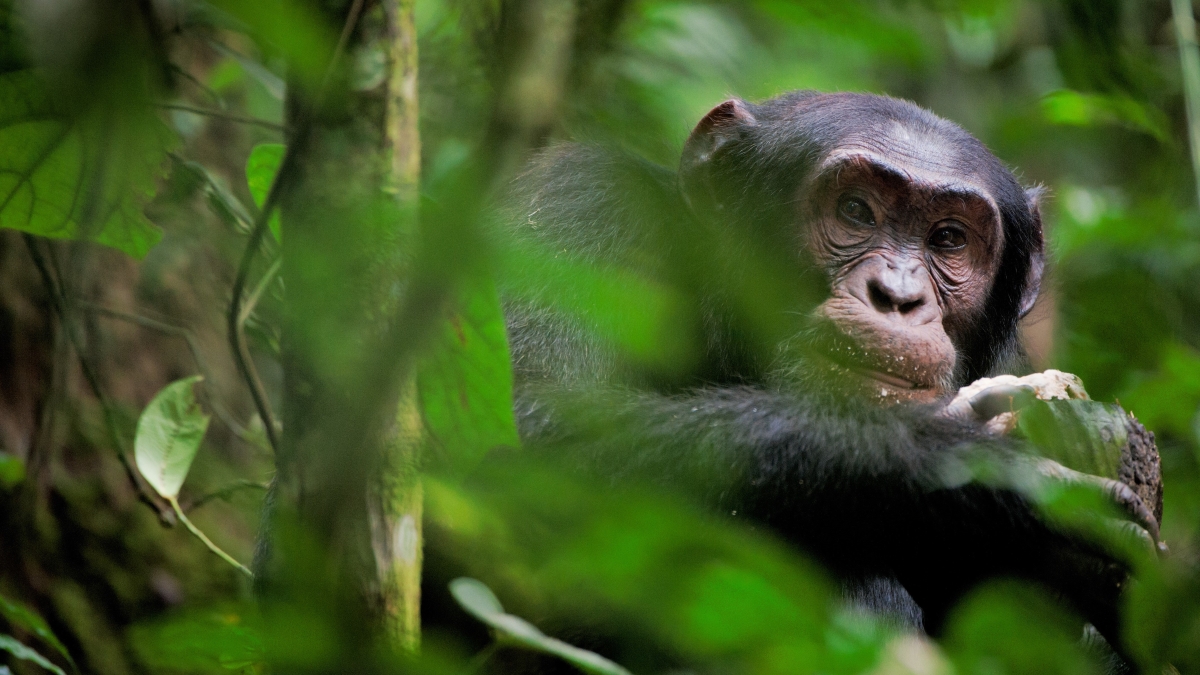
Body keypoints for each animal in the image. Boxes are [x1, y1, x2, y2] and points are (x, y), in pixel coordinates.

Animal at [494, 91, 1152, 658]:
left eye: (948, 239)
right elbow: (526, 436)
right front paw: (981, 473)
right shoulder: (579, 206)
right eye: (856, 210)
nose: (898, 295)